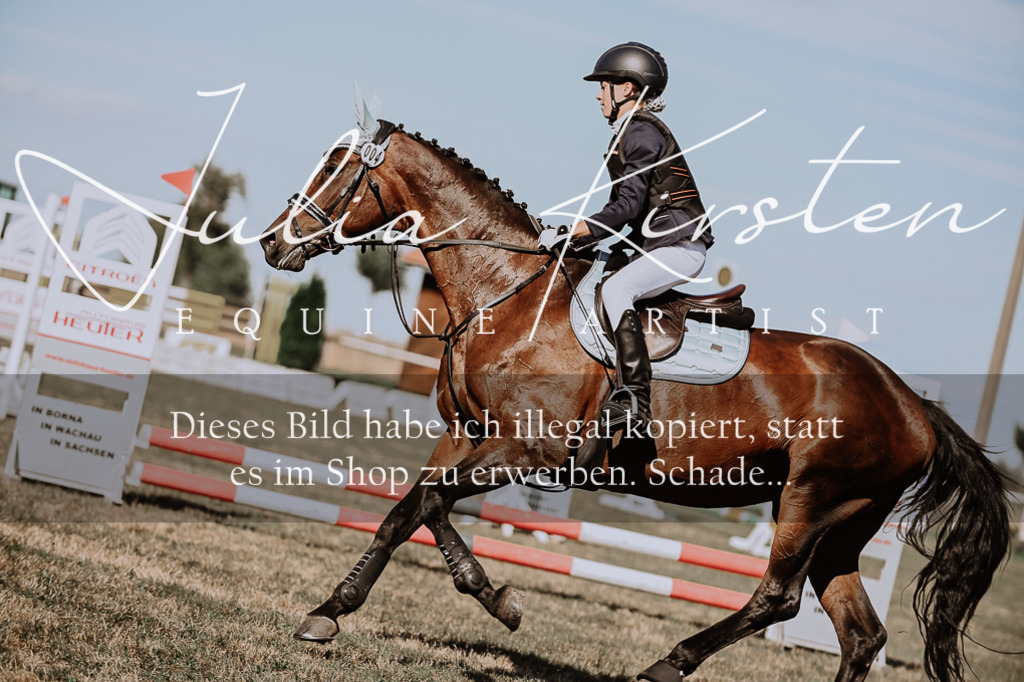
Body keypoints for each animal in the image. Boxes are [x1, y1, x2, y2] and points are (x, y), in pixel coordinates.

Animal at [258, 118, 1011, 682]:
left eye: (337, 170)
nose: (272, 242)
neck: (507, 293)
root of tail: (914, 405)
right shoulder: (466, 436)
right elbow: (406, 513)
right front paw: (335, 610)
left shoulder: (526, 449)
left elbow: (434, 505)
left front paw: (498, 599)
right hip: (847, 520)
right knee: (858, 635)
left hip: (812, 500)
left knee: (778, 597)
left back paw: (667, 664)